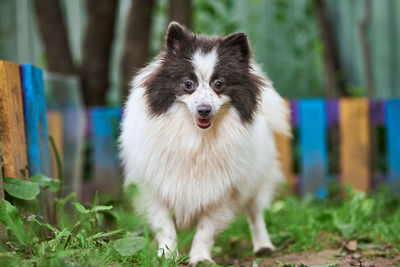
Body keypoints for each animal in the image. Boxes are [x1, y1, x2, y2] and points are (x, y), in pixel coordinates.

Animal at [119, 22, 290, 264]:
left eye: (219, 84)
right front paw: (167, 255)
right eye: (188, 84)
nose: (204, 110)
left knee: (255, 213)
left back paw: (263, 246)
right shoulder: (157, 188)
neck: (196, 137)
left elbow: (205, 230)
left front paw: (200, 258)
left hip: (256, 181)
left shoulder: (220, 193)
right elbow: (165, 227)